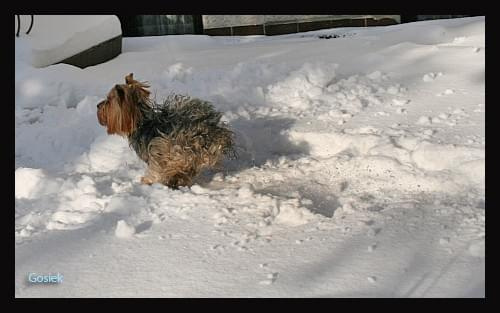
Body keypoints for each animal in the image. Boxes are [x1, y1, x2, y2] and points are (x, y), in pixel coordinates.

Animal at [99, 73, 236, 188]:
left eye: (108, 100)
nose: (98, 105)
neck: (141, 120)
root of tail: (207, 130)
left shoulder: (158, 150)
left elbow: (156, 170)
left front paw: (148, 181)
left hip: (174, 145)